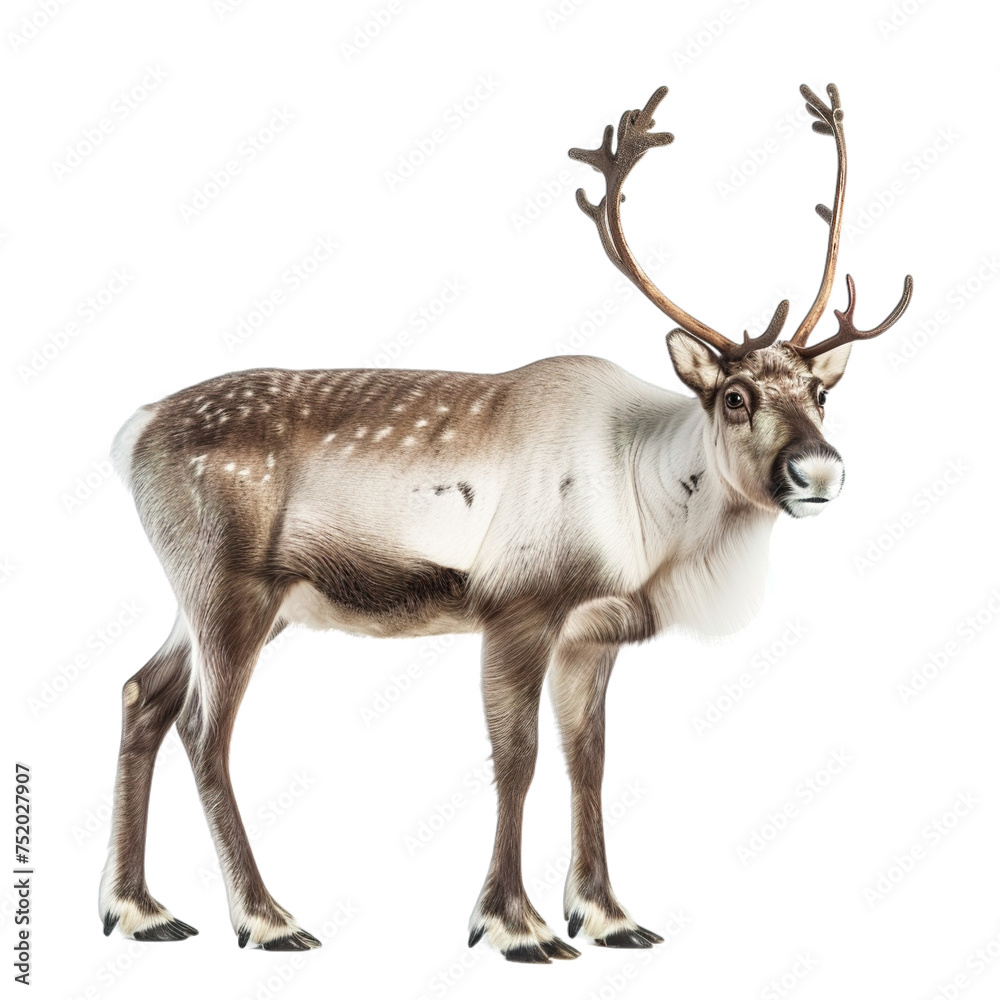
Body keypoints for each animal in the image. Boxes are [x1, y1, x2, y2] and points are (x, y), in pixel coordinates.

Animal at [100, 82, 912, 962]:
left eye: (821, 392)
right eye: (735, 396)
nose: (819, 470)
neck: (652, 516)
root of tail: (131, 431)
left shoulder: (592, 631)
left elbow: (588, 759)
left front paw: (608, 915)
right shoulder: (518, 604)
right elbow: (516, 757)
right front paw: (514, 925)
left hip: (226, 598)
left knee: (142, 693)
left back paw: (140, 910)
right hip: (229, 585)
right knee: (202, 728)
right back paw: (267, 919)